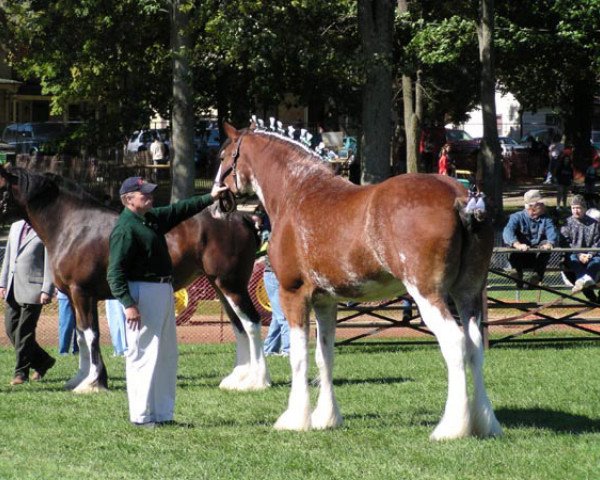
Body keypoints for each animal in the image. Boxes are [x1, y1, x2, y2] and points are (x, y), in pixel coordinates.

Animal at [0, 168, 270, 394]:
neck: (73, 227)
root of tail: (243, 218)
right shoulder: (80, 297)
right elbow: (82, 336)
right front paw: (84, 379)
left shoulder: (81, 293)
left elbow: (89, 335)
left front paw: (91, 383)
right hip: (221, 286)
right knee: (238, 326)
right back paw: (237, 379)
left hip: (232, 285)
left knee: (252, 323)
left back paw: (257, 381)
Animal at [218, 123, 504, 438]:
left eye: (223, 156)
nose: (219, 201)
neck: (296, 191)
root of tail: (461, 198)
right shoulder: (325, 301)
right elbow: (324, 357)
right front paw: (326, 417)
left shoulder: (293, 294)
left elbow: (299, 357)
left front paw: (295, 418)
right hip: (467, 294)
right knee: (475, 346)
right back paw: (484, 423)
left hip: (428, 294)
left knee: (455, 343)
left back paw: (451, 427)